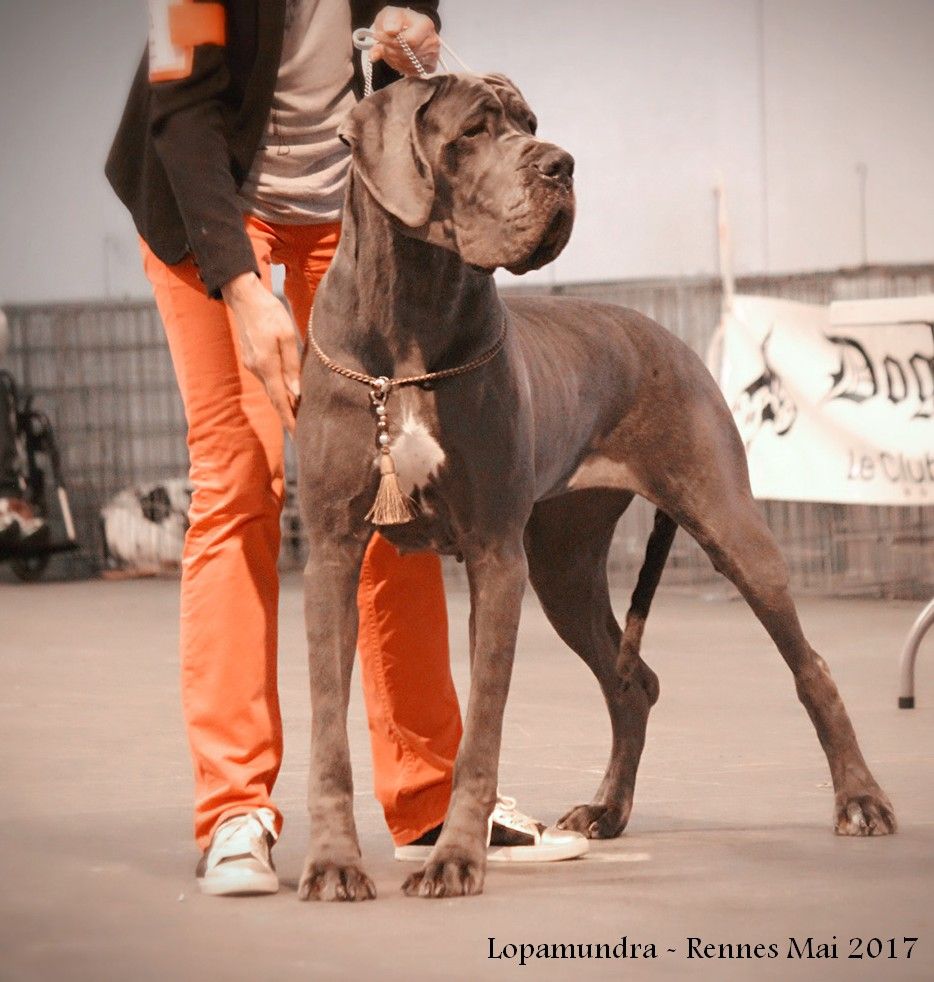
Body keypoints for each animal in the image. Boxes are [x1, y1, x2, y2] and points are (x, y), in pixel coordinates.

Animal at [294, 73, 900, 904]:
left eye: (530, 122)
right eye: (473, 131)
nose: (561, 164)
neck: (411, 313)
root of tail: (667, 335)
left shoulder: (495, 556)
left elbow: (481, 727)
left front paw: (455, 858)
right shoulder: (331, 551)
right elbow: (327, 724)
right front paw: (332, 863)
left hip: (727, 528)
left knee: (810, 668)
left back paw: (860, 801)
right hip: (564, 567)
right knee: (631, 682)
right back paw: (607, 810)